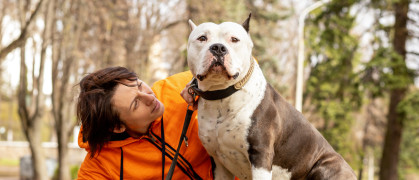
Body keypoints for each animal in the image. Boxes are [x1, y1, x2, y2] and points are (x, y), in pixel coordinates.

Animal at [187, 14, 358, 180]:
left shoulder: (261, 158)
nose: (218, 48)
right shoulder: (219, 164)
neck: (222, 96)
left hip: (325, 166)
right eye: (202, 38)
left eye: (234, 39)